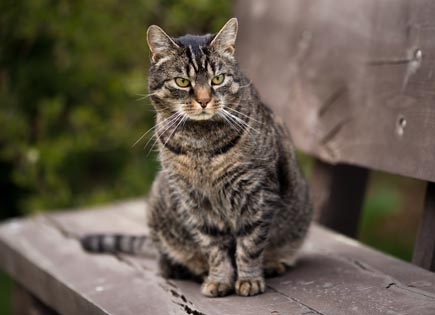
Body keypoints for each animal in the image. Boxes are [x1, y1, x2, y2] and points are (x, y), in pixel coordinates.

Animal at [82, 17, 314, 298]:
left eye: (218, 79)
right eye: (182, 82)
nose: (204, 101)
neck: (200, 143)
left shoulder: (257, 192)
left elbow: (250, 243)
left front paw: (248, 280)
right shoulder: (194, 200)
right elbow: (213, 247)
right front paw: (219, 280)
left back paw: (273, 263)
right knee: (164, 261)